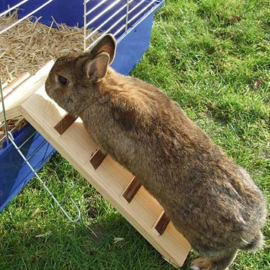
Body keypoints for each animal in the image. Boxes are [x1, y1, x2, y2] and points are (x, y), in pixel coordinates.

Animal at [45, 34, 266, 268]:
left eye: (63, 80)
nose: (46, 86)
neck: (100, 92)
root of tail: (252, 230)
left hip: (201, 237)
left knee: (226, 255)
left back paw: (200, 264)